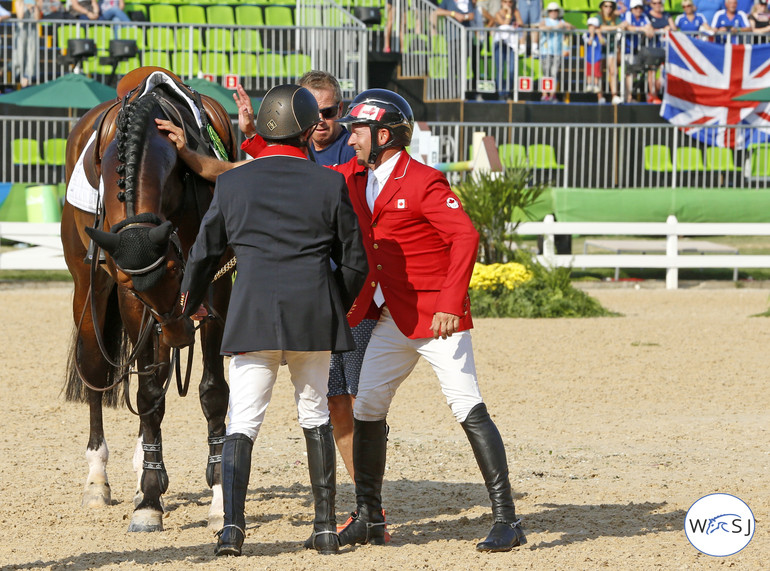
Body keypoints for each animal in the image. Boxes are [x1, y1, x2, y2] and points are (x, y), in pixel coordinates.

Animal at [60, 69, 234, 536]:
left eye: (177, 271)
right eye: (138, 288)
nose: (177, 332)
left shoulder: (216, 283)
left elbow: (213, 392)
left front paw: (220, 495)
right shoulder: (126, 291)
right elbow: (148, 391)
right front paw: (149, 501)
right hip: (89, 292)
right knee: (98, 374)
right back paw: (98, 481)